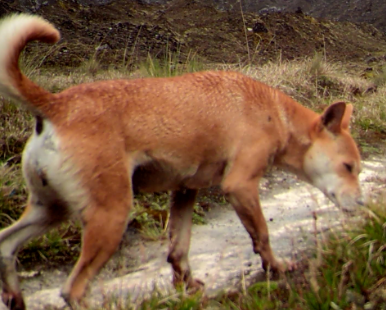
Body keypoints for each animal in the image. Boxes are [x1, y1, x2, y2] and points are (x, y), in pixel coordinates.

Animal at [0, 12, 364, 310]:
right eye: (348, 167)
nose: (363, 206)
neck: (276, 113)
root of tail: (56, 104)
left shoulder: (186, 192)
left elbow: (179, 249)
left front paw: (186, 286)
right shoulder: (241, 186)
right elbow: (261, 235)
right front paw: (275, 266)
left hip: (50, 210)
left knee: (6, 246)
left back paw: (15, 298)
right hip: (110, 216)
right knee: (73, 290)